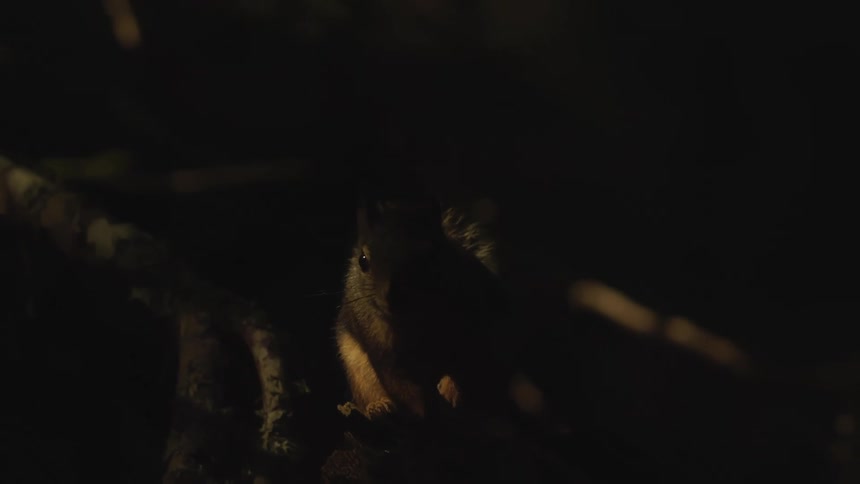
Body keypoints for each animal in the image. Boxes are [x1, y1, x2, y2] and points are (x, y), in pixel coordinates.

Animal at [333, 175, 512, 421]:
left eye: (426, 258)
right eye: (363, 260)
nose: (391, 295)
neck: (411, 319)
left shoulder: (471, 320)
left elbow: (465, 361)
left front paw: (451, 390)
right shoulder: (379, 344)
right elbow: (399, 384)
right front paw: (420, 409)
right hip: (356, 366)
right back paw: (378, 406)